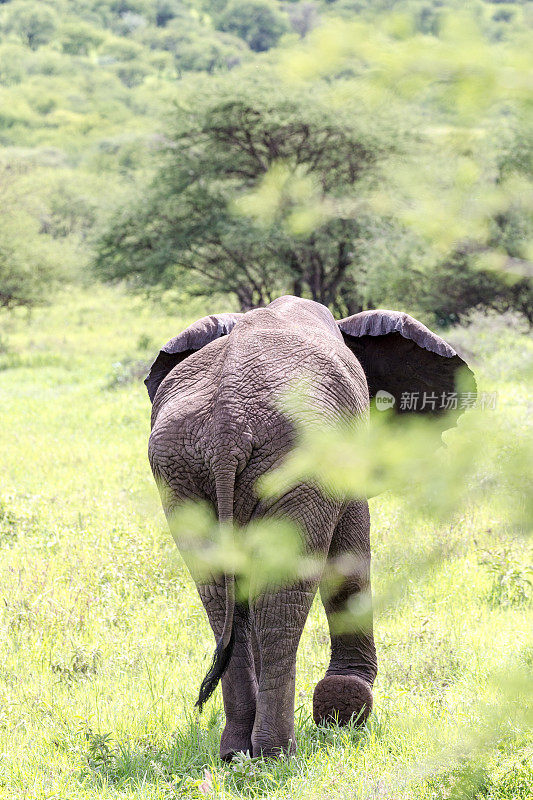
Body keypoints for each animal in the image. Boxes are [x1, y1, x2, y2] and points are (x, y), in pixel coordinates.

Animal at [143, 296, 472, 760]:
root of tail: (228, 425)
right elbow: (350, 549)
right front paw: (346, 710)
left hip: (181, 469)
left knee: (220, 594)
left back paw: (236, 753)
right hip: (295, 459)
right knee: (279, 595)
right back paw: (276, 753)